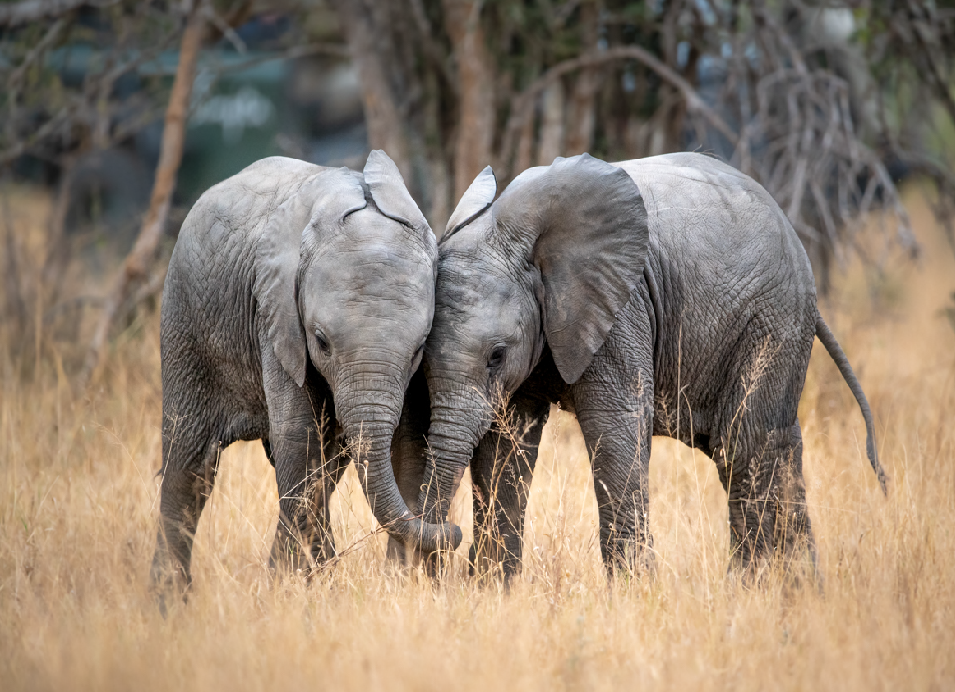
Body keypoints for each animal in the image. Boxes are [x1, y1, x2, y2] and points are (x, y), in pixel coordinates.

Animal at [150, 150, 461, 595]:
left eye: (420, 347)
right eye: (321, 341)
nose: (453, 532)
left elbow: (407, 442)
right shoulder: (275, 316)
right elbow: (297, 438)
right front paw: (295, 586)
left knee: (325, 468)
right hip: (183, 316)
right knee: (190, 463)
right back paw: (170, 598)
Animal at [415, 152, 888, 579]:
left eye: (496, 355)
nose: (444, 536)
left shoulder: (621, 309)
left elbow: (615, 425)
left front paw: (633, 593)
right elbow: (505, 442)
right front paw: (491, 589)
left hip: (773, 320)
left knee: (746, 445)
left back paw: (756, 589)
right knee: (772, 447)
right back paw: (797, 590)